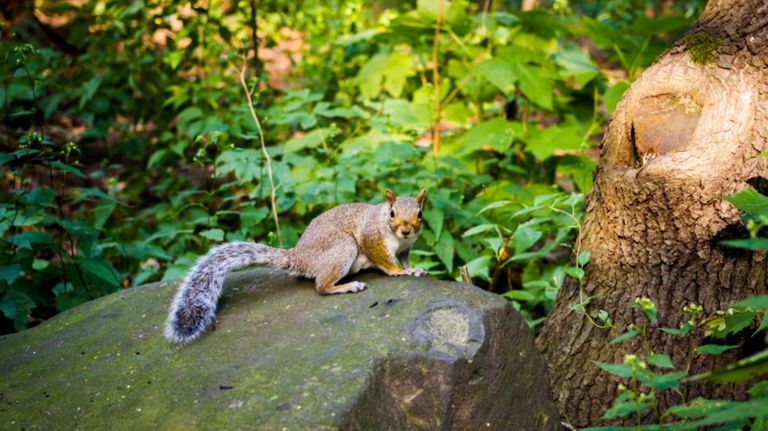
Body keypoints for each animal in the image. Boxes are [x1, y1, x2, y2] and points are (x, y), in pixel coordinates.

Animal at [165, 189, 428, 344]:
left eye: (420, 214)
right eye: (392, 213)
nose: (407, 230)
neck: (396, 236)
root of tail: (299, 256)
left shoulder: (405, 248)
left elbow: (405, 259)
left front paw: (414, 270)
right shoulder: (372, 240)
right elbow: (385, 261)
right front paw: (399, 272)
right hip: (342, 248)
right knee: (321, 286)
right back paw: (346, 286)